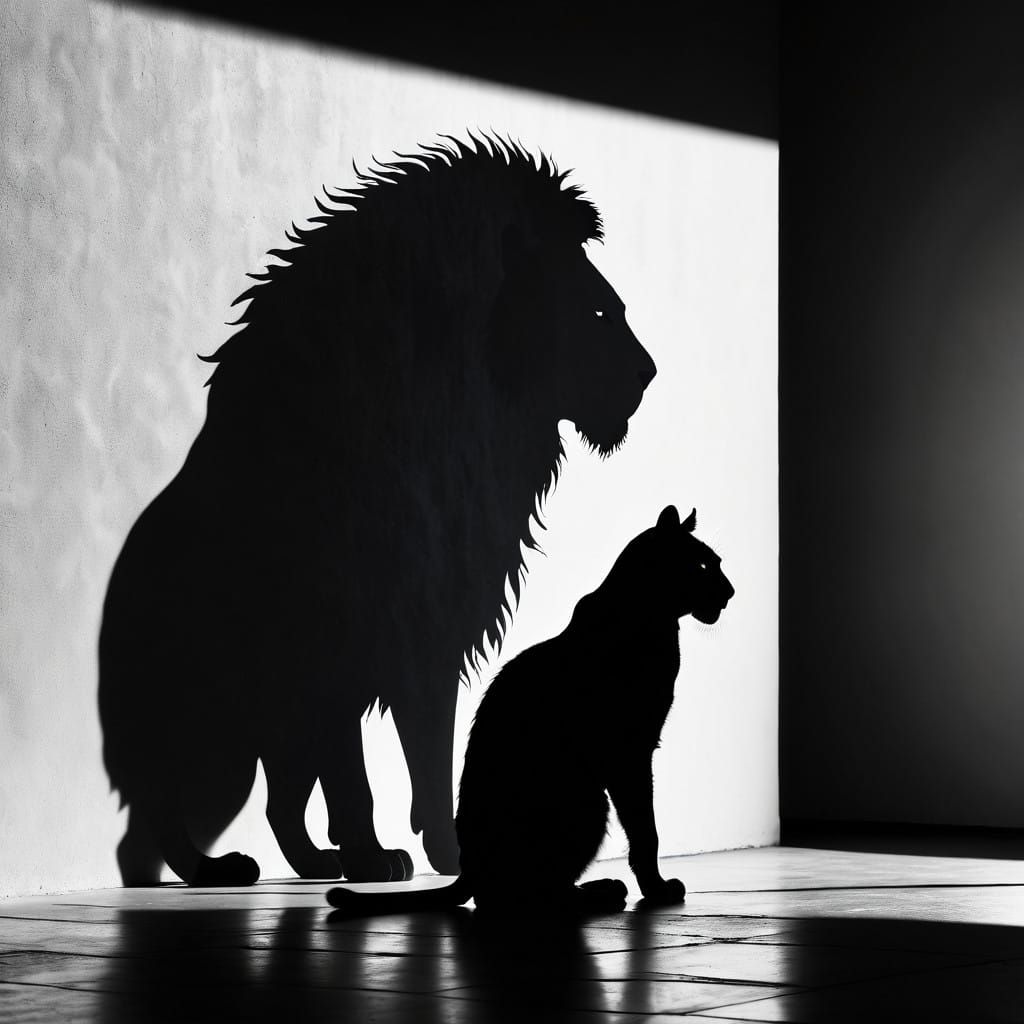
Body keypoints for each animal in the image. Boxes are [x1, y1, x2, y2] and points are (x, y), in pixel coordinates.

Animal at [99, 134, 657, 886]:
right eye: (598, 313)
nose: (649, 373)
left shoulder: (431, 631)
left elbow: (432, 755)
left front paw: (445, 854)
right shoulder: (336, 641)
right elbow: (354, 776)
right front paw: (372, 857)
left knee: (276, 805)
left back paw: (312, 865)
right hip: (213, 725)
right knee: (154, 821)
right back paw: (218, 872)